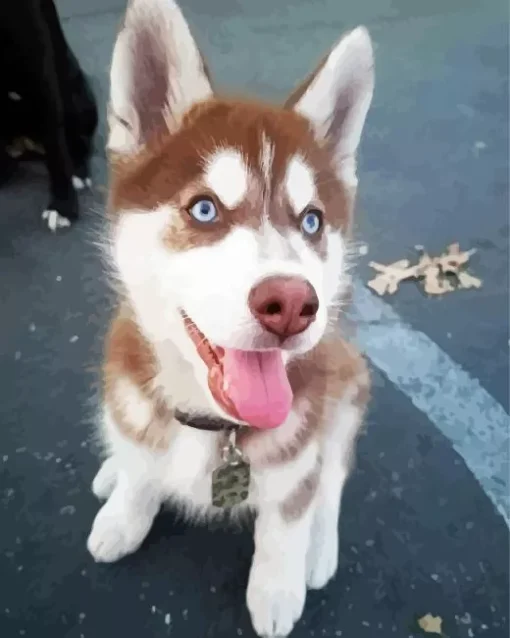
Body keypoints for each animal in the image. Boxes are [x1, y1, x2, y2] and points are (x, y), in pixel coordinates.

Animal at [86, 2, 374, 636]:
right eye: (204, 209)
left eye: (312, 221)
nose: (291, 304)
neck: (212, 426)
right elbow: (140, 472)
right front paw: (124, 511)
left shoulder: (298, 452)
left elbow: (289, 515)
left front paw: (276, 587)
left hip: (348, 380)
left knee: (334, 476)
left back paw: (319, 549)